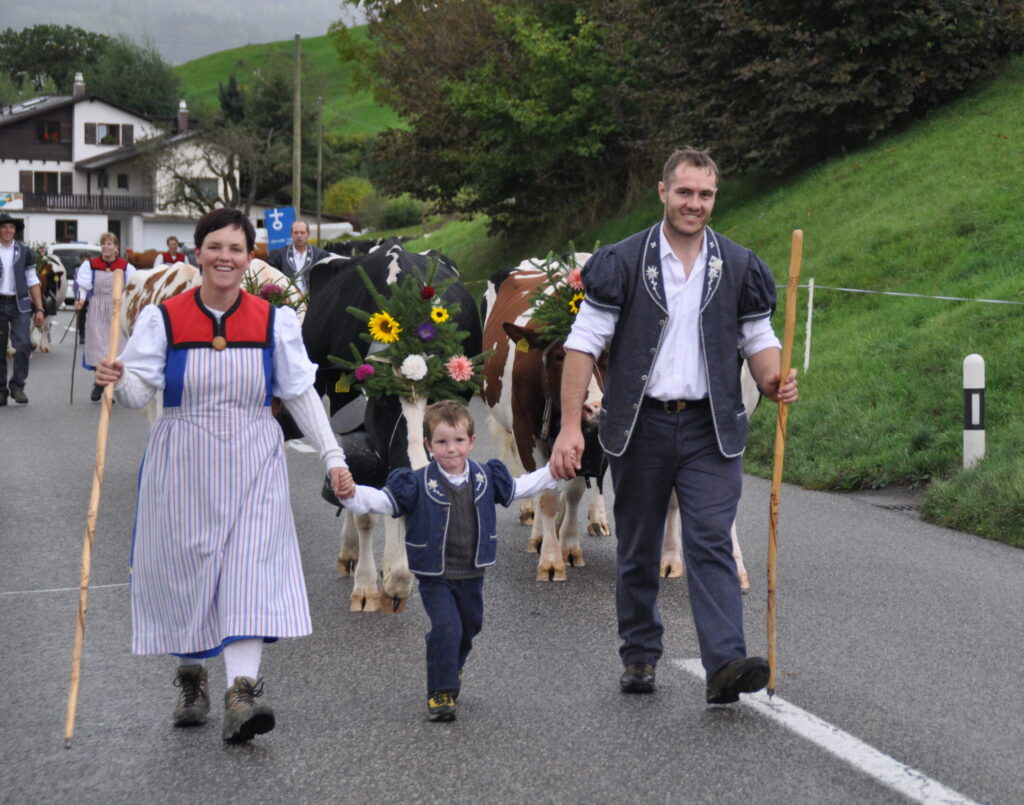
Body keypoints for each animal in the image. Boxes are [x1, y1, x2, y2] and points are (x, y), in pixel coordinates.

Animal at [303, 238, 483, 614]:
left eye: (440, 397)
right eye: (384, 400)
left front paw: (397, 580)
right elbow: (364, 507)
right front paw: (367, 589)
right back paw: (352, 554)